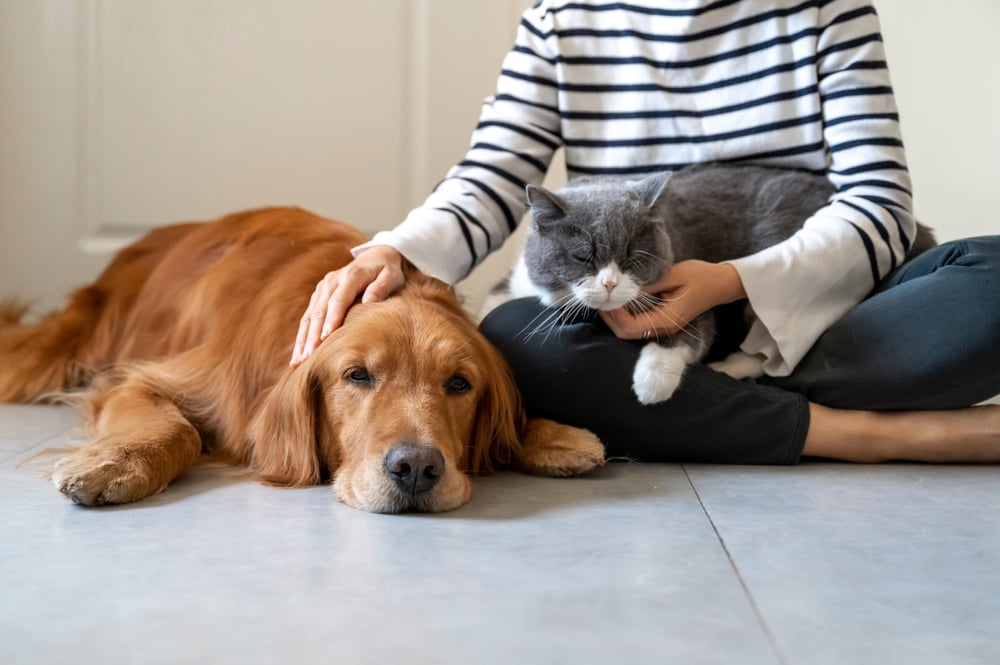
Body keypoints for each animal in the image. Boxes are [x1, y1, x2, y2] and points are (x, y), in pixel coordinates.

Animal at [0, 209, 604, 512]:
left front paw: (553, 436)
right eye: (356, 375)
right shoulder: (144, 379)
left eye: (459, 384)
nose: (415, 469)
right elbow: (179, 428)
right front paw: (114, 463)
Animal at [480, 165, 932, 404]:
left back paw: (730, 367)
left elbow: (691, 329)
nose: (609, 283)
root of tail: (917, 231)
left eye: (632, 258)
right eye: (583, 257)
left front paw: (653, 382)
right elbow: (496, 299)